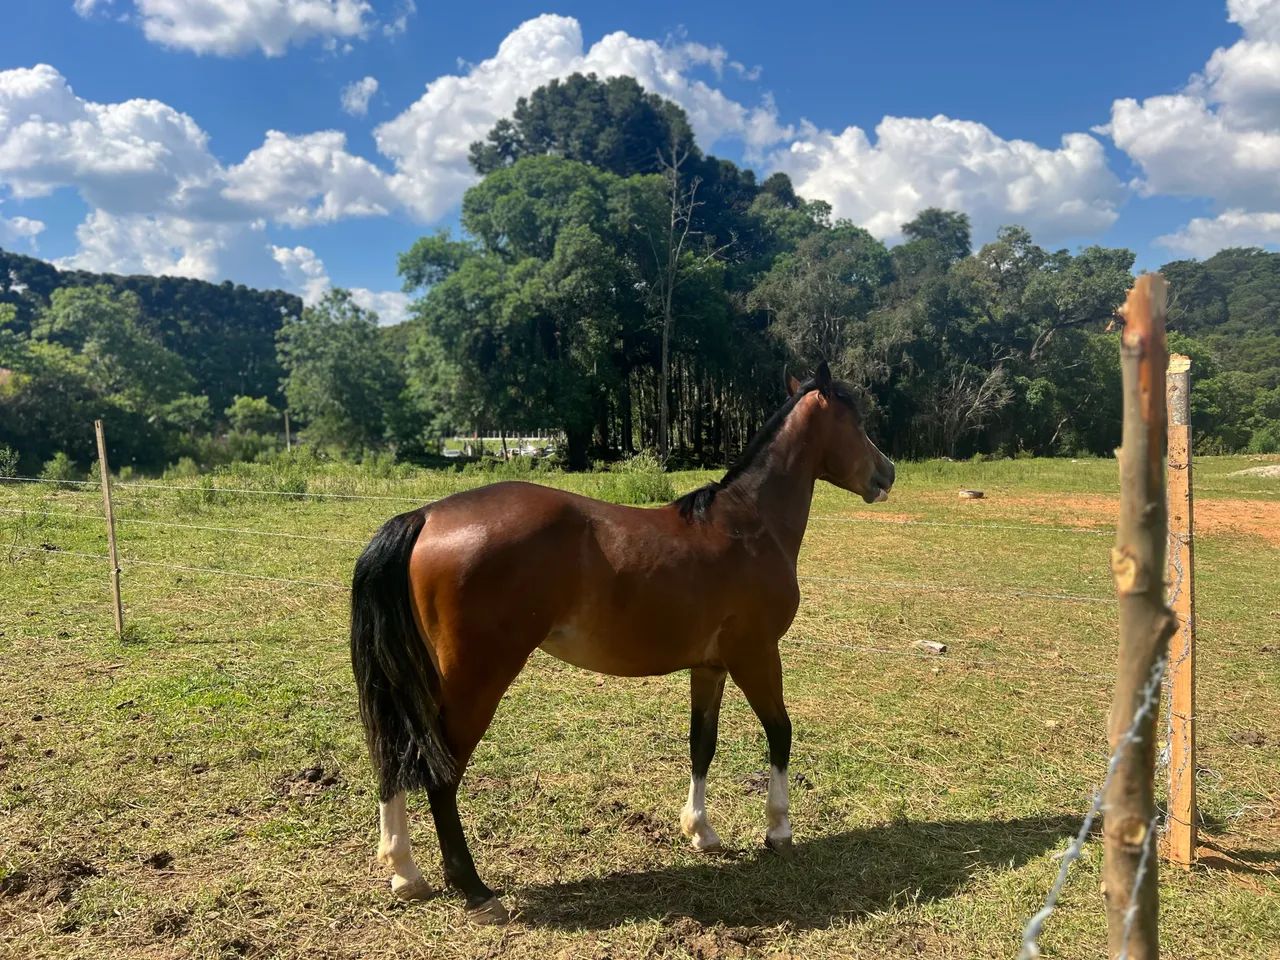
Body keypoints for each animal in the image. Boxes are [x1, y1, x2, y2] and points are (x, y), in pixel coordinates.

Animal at [350, 362, 895, 923]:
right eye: (856, 420)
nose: (888, 473)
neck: (749, 525)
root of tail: (426, 516)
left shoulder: (711, 666)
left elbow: (702, 743)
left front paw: (701, 831)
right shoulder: (757, 655)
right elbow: (780, 732)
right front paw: (778, 829)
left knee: (394, 753)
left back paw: (405, 872)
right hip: (476, 683)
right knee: (441, 772)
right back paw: (474, 890)